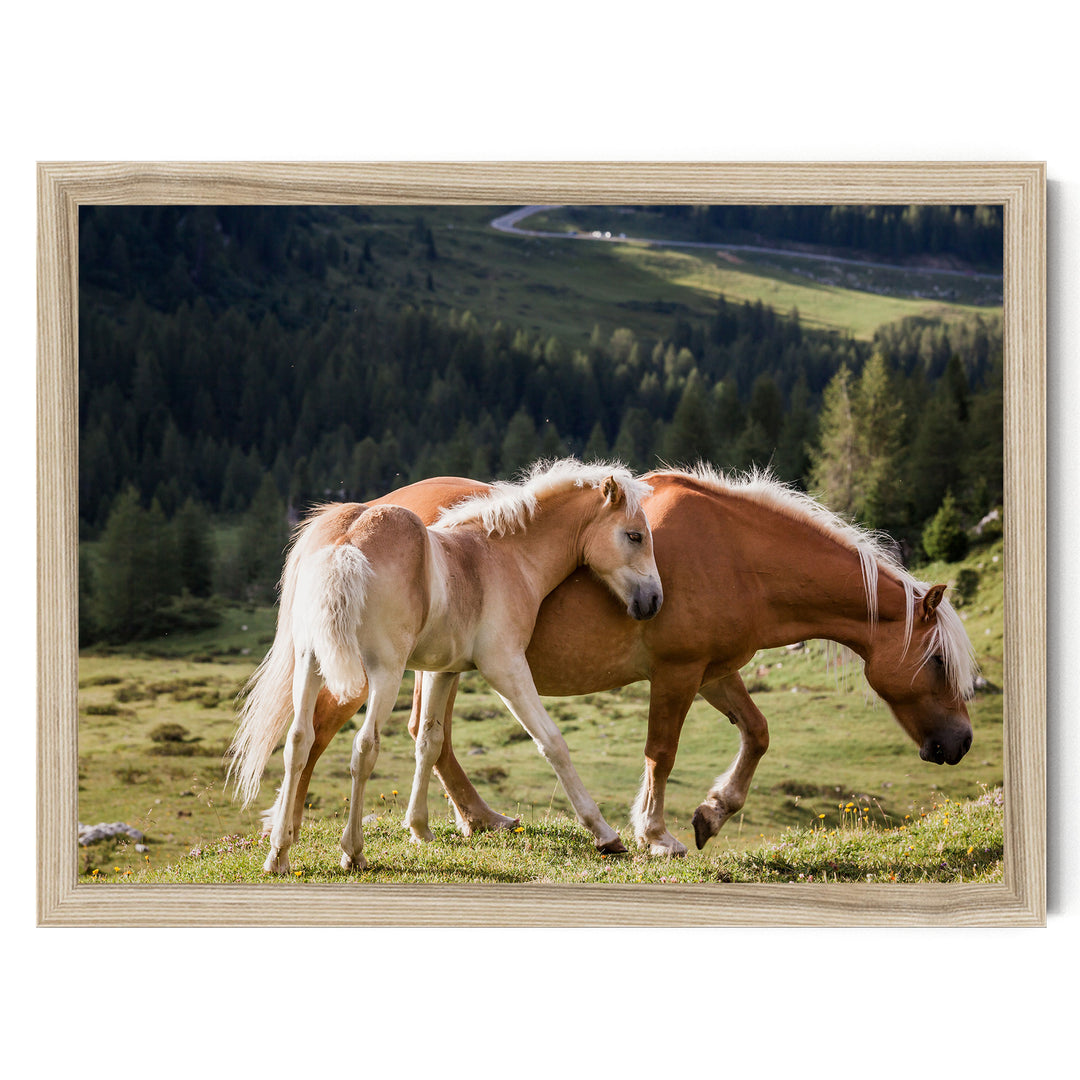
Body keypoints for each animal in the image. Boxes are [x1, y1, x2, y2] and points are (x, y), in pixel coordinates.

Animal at [228, 459, 663, 873]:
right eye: (635, 536)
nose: (654, 601)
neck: (503, 556)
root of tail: (344, 542)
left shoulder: (442, 670)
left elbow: (429, 740)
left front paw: (419, 828)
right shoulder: (505, 667)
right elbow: (552, 742)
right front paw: (604, 834)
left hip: (310, 663)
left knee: (298, 742)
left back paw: (279, 854)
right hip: (383, 674)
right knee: (363, 748)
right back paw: (353, 852)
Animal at [264, 465, 978, 858]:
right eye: (938, 663)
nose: (961, 744)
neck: (738, 555)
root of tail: (354, 520)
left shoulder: (715, 670)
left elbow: (757, 732)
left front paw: (712, 813)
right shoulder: (678, 672)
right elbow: (661, 752)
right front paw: (654, 832)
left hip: (435, 664)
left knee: (422, 738)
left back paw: (477, 820)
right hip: (367, 669)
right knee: (323, 733)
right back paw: (294, 832)